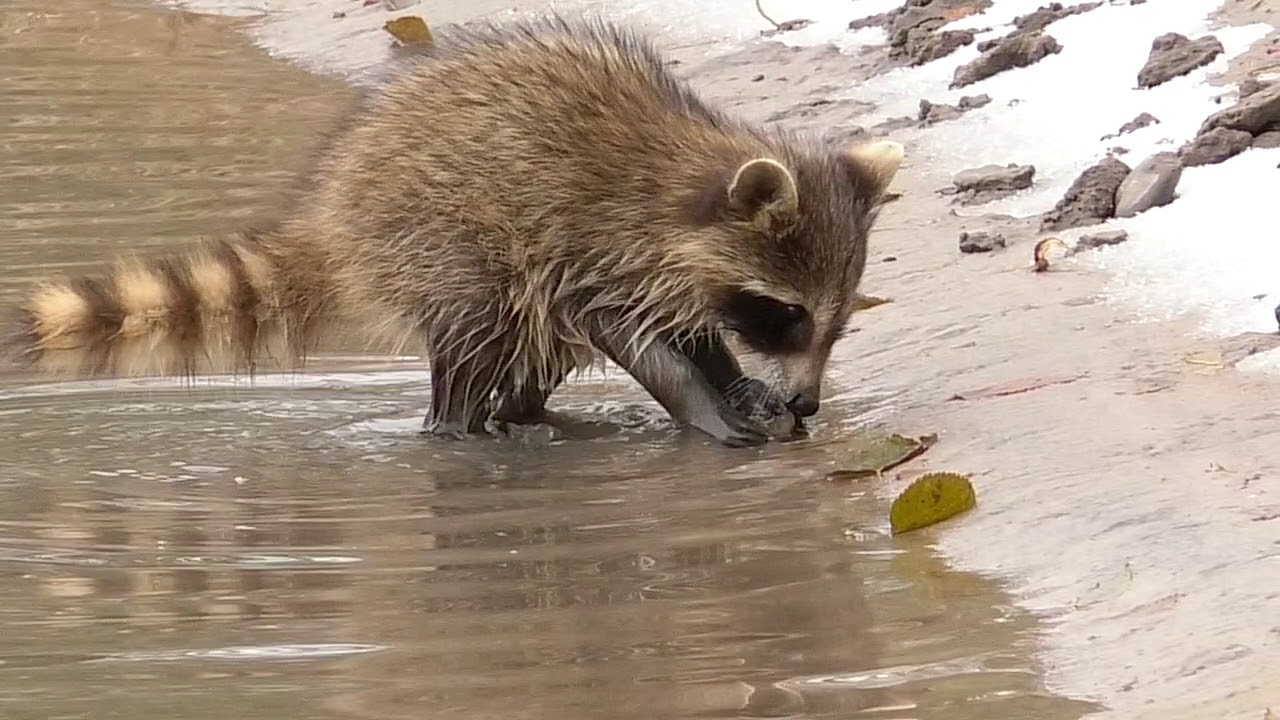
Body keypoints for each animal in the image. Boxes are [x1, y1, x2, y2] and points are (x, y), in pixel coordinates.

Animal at [5, 16, 904, 448]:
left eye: (836, 322)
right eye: (786, 313)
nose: (809, 400)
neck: (686, 183)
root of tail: (339, 203)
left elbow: (688, 332)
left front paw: (736, 383)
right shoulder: (596, 244)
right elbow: (635, 335)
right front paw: (708, 407)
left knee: (528, 349)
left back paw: (526, 412)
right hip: (443, 238)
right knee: (479, 328)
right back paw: (465, 428)